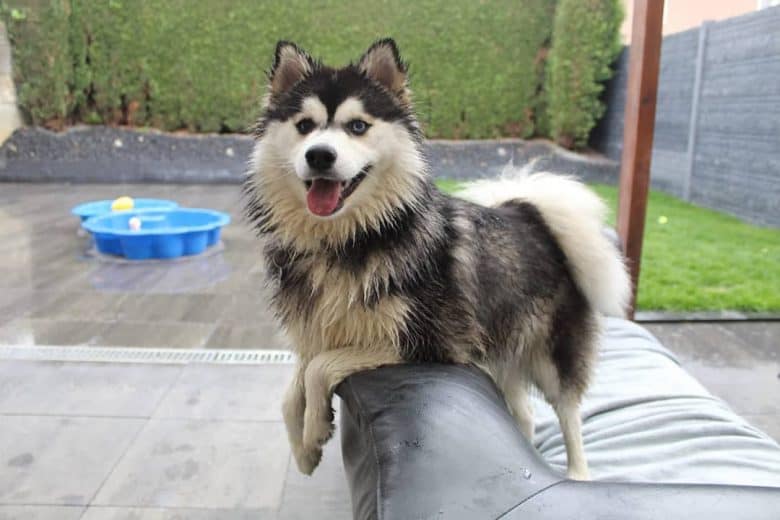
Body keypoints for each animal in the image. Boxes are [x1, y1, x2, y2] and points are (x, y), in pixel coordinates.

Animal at [247, 39, 632, 480]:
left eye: (357, 126)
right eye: (304, 125)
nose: (320, 155)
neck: (350, 239)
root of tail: (529, 212)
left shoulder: (430, 341)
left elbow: (318, 369)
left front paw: (315, 431)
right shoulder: (318, 331)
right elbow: (292, 390)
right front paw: (305, 450)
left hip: (553, 355)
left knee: (570, 413)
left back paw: (578, 474)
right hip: (500, 350)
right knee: (524, 413)